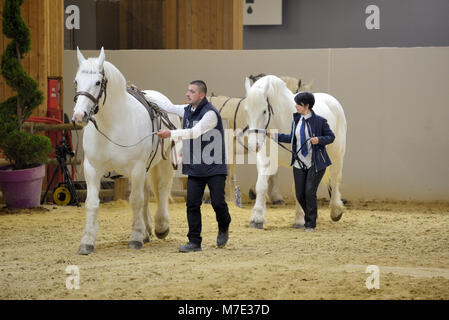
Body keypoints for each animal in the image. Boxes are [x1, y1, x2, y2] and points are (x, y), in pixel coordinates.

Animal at [72, 47, 180, 254]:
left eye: (98, 82)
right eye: (76, 81)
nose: (79, 115)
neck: (112, 126)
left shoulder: (136, 168)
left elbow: (135, 200)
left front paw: (136, 237)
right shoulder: (92, 169)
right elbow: (92, 203)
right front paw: (87, 241)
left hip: (164, 163)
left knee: (162, 189)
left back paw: (161, 226)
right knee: (146, 195)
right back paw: (147, 231)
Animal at [243, 75, 344, 228]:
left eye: (264, 111)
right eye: (246, 111)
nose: (253, 145)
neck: (280, 121)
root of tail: (333, 101)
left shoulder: (299, 160)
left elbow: (298, 187)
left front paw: (300, 219)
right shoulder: (266, 160)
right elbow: (261, 185)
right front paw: (257, 218)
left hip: (336, 153)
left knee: (335, 178)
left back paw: (336, 211)